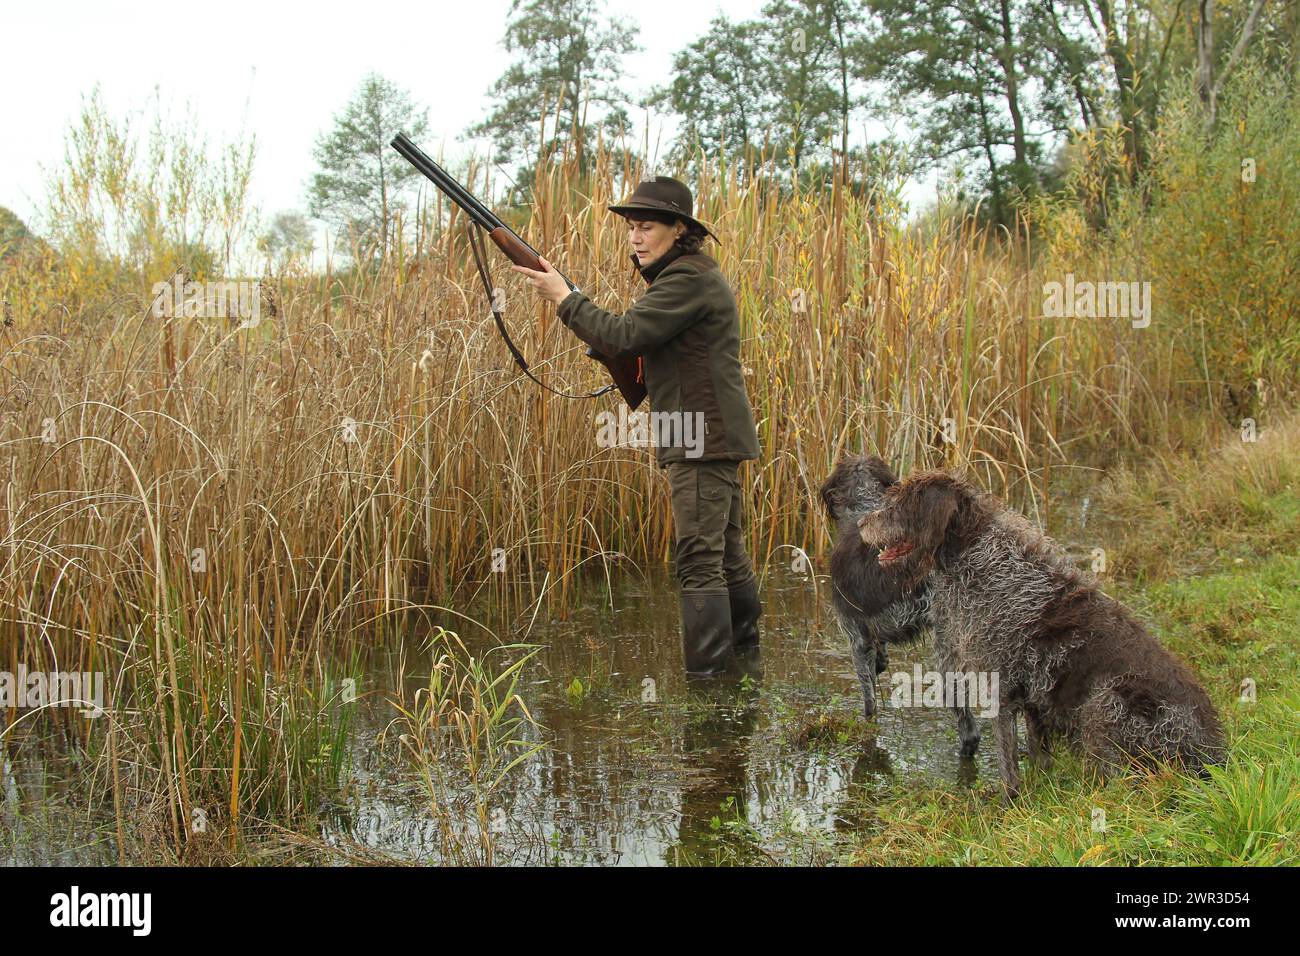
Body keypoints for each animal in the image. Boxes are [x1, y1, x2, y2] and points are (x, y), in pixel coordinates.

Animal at [816, 455, 977, 754]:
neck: (863, 507)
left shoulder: (855, 635)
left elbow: (869, 702)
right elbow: (880, 654)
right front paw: (882, 661)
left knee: (968, 726)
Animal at [857, 470, 1222, 801]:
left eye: (897, 506)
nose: (861, 523)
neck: (975, 554)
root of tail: (1211, 756)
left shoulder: (1001, 687)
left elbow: (1007, 758)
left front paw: (1008, 801)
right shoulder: (1034, 694)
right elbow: (1038, 754)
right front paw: (1039, 786)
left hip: (1108, 700)